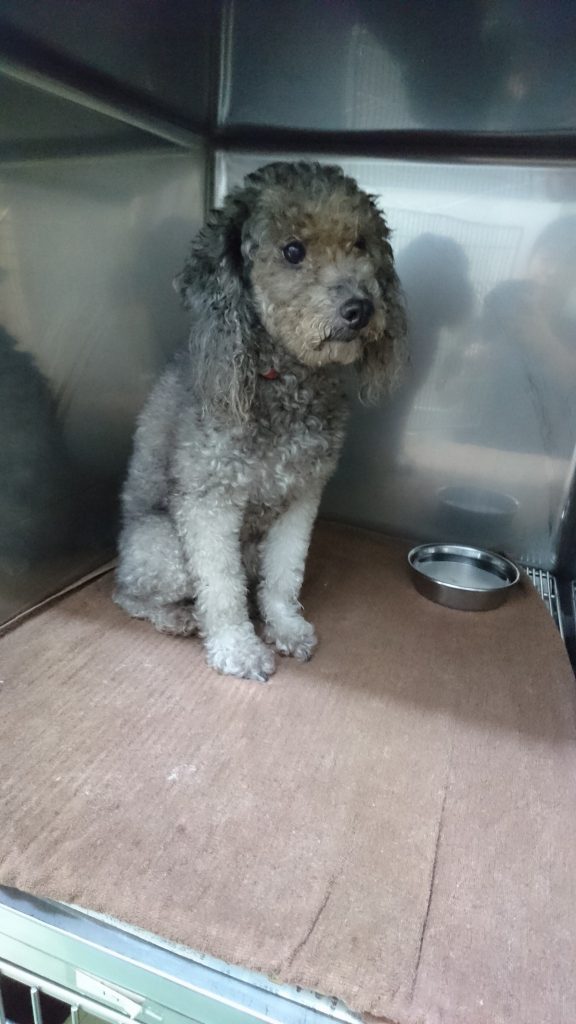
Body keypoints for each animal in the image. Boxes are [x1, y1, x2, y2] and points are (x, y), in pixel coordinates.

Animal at [114, 161, 405, 681]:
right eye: (292, 251)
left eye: (360, 244)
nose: (362, 308)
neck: (281, 377)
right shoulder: (208, 502)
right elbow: (222, 589)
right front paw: (237, 647)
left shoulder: (302, 496)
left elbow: (284, 576)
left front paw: (285, 626)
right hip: (160, 549)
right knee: (128, 593)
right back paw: (176, 616)